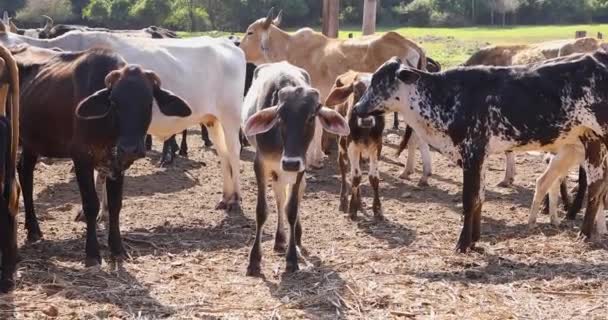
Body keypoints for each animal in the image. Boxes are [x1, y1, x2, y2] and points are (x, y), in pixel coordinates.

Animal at [1, 26, 247, 210]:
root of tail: (225, 44)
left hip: (231, 115)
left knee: (234, 150)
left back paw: (235, 199)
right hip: (212, 119)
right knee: (223, 153)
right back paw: (226, 196)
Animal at [241, 62, 350, 276]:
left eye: (311, 116)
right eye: (280, 116)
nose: (290, 162)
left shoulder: (300, 166)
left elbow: (291, 208)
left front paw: (291, 258)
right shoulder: (261, 164)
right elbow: (262, 210)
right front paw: (254, 260)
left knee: (292, 195)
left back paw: (294, 236)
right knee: (279, 197)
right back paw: (279, 239)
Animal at [326, 70, 382, 220]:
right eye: (356, 90)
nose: (367, 120)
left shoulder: (377, 146)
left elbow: (373, 178)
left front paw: (377, 209)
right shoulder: (352, 145)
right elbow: (355, 177)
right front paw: (352, 208)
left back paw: (360, 202)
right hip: (341, 144)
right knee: (344, 168)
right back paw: (344, 201)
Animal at [354, 53, 608, 251]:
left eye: (380, 82)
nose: (357, 108)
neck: (445, 96)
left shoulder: (472, 152)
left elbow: (470, 199)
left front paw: (462, 244)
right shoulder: (481, 155)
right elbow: (480, 198)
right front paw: (475, 240)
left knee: (595, 185)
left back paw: (585, 233)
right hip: (591, 141)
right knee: (597, 185)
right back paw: (588, 233)